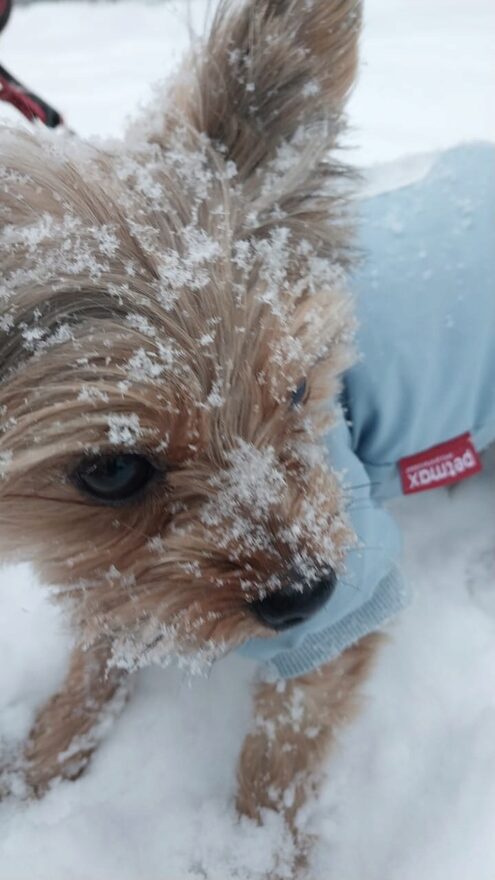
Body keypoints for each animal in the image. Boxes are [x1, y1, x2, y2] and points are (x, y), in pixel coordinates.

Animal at [0, 0, 380, 860]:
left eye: (298, 390)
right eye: (110, 472)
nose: (306, 594)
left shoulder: (357, 589)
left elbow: (284, 747)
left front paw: (258, 855)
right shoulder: (112, 570)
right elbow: (101, 643)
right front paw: (44, 759)